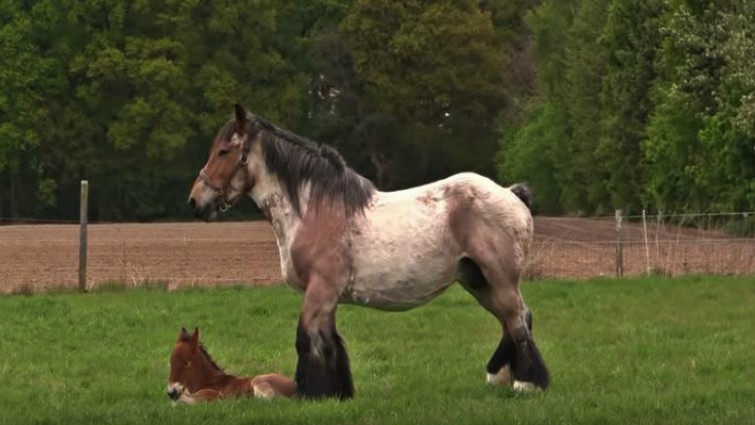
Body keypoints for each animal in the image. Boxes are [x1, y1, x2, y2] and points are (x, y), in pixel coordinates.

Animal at [167, 327, 296, 403]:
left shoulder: (209, 394)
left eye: (186, 362)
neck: (210, 381)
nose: (171, 392)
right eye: (171, 361)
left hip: (259, 380)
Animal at [187, 104, 550, 399]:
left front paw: (310, 394)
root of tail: (511, 193)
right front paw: (337, 393)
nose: (195, 200)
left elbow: (307, 339)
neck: (314, 208)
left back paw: (527, 383)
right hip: (477, 281)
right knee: (512, 320)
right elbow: (329, 342)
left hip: (499, 279)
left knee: (518, 320)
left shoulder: (320, 290)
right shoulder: (326, 296)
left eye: (223, 151)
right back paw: (500, 377)